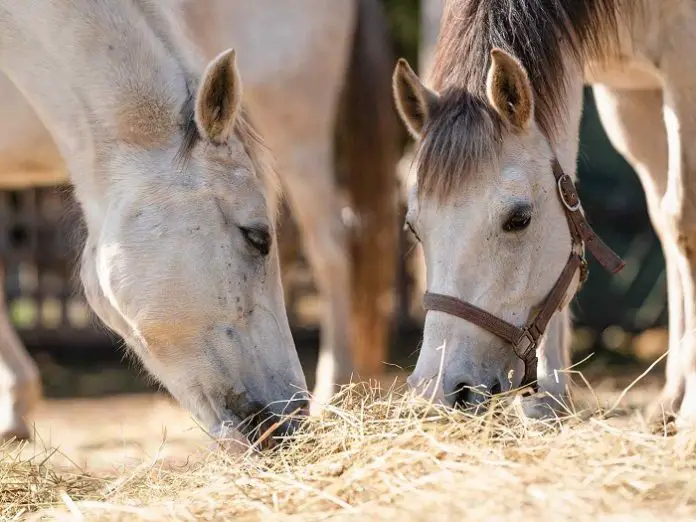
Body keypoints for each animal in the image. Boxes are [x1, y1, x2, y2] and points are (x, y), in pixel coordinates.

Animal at [393, 0, 696, 427]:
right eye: (414, 228)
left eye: (519, 220)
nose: (438, 389)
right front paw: (547, 399)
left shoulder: (684, 62)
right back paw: (671, 396)